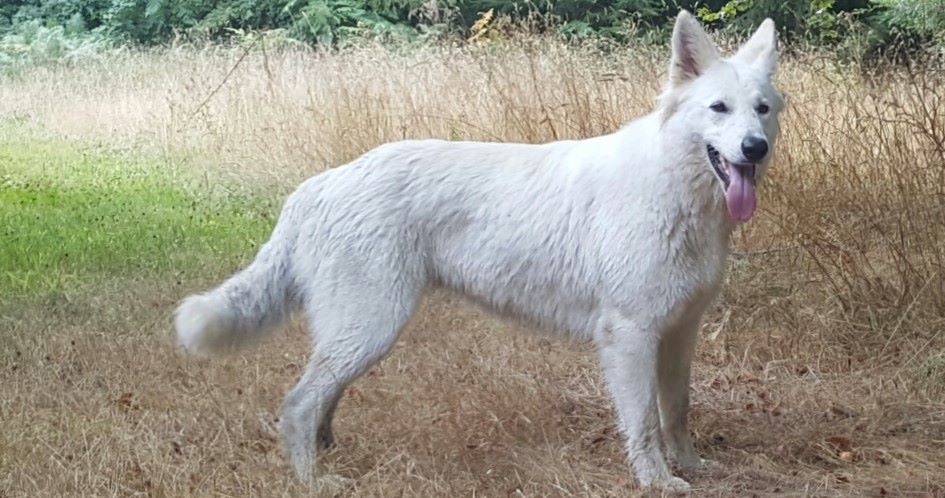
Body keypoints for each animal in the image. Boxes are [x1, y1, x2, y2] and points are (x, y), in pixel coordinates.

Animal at [175, 11, 780, 490]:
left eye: (762, 109)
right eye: (718, 108)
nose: (755, 148)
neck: (676, 190)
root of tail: (314, 187)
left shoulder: (679, 332)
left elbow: (676, 411)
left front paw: (691, 467)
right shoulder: (630, 335)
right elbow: (645, 424)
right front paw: (658, 482)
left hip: (358, 333)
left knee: (320, 398)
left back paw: (326, 454)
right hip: (371, 326)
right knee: (298, 404)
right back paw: (314, 481)